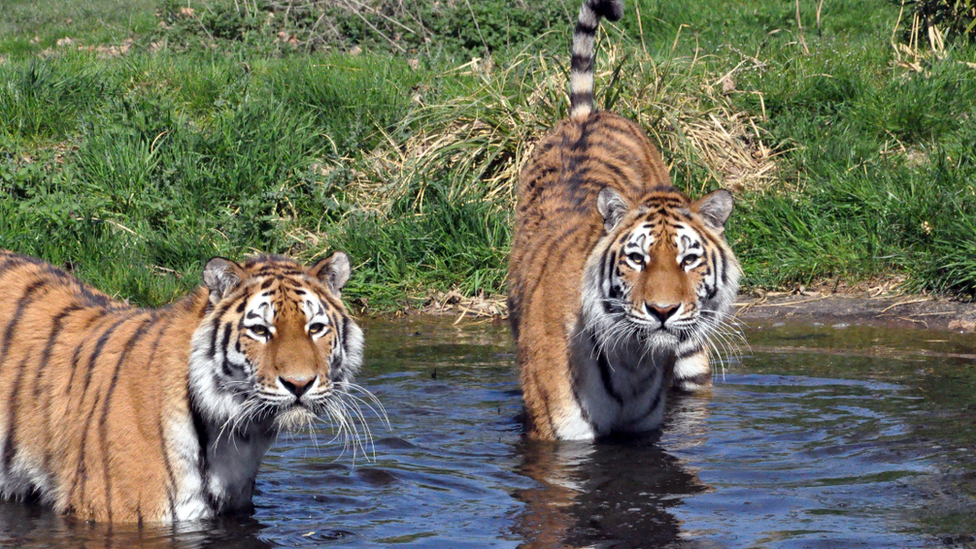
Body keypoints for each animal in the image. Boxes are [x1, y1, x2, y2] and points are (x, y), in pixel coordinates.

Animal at [508, 0, 744, 440]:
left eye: (689, 260)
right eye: (637, 259)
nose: (663, 312)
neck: (634, 361)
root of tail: (586, 113)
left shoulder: (645, 432)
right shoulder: (558, 434)